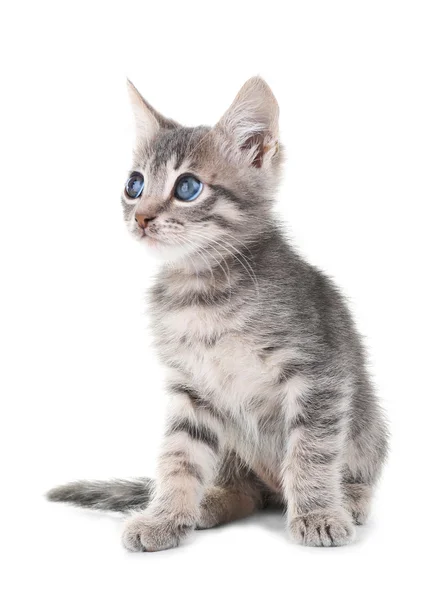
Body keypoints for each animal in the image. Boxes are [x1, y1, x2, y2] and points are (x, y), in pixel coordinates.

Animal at [47, 78, 388, 548]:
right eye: (134, 184)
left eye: (187, 187)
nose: (141, 217)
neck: (202, 293)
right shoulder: (192, 388)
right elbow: (179, 456)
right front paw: (165, 516)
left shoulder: (318, 374)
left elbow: (311, 450)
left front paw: (318, 511)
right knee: (245, 491)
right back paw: (207, 502)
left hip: (368, 426)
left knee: (354, 467)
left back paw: (349, 498)